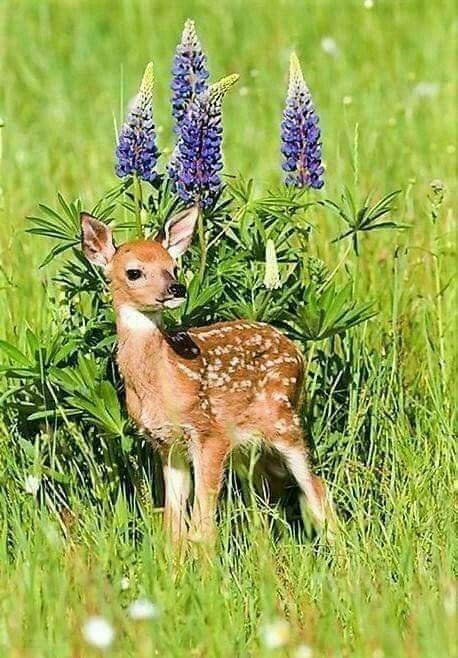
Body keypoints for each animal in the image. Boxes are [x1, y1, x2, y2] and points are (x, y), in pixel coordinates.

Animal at [81, 205, 336, 544]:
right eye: (134, 272)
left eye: (173, 266)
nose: (176, 288)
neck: (162, 379)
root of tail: (296, 350)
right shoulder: (166, 443)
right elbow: (174, 522)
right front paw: (172, 558)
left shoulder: (209, 432)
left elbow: (202, 523)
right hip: (251, 441)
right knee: (268, 486)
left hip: (283, 420)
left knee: (317, 488)